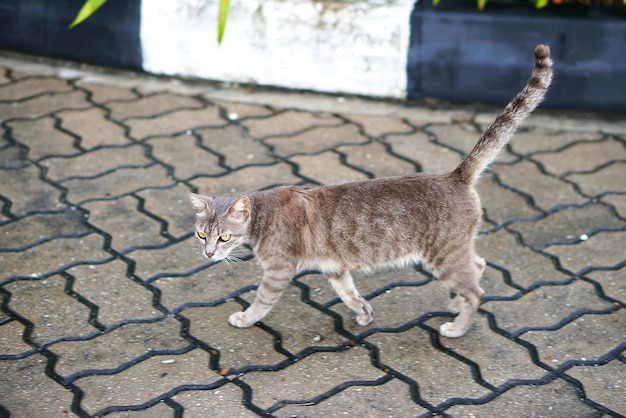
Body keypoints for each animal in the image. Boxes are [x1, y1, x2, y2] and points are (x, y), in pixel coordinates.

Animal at [189, 45, 552, 338]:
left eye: (224, 238)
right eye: (200, 235)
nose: (208, 254)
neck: (262, 216)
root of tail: (456, 176)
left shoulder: (278, 271)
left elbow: (262, 300)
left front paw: (246, 318)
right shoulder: (334, 267)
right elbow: (349, 294)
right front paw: (363, 313)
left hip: (443, 256)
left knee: (477, 290)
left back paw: (458, 324)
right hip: (455, 252)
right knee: (477, 266)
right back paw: (456, 303)